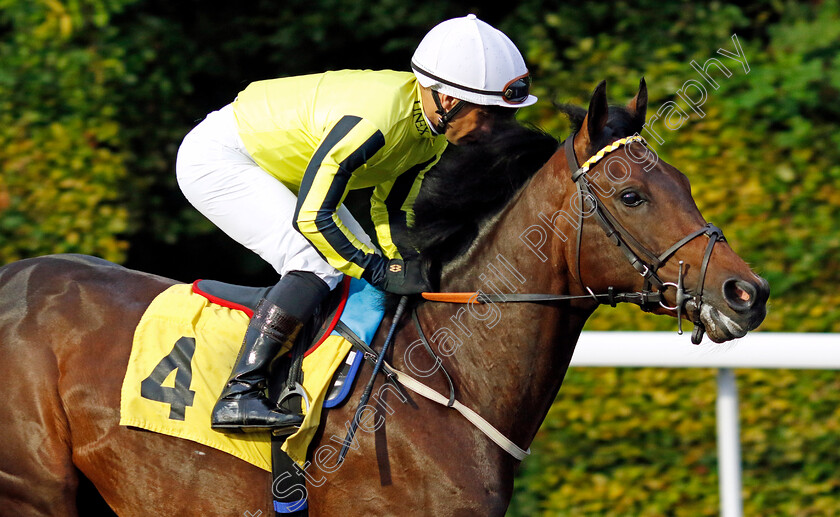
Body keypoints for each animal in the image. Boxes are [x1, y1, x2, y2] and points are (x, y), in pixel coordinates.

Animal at [0, 78, 768, 512]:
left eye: (684, 185)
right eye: (632, 195)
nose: (746, 291)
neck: (446, 380)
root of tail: (15, 278)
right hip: (32, 489)